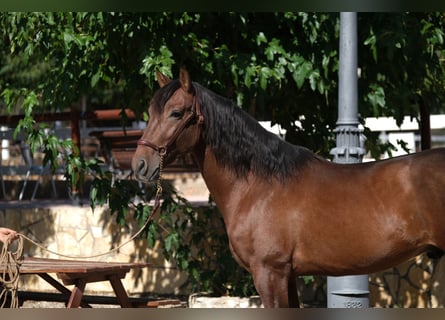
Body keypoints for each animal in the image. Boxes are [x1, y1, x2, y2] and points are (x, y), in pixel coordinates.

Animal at [131, 68, 444, 308]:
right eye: (150, 112)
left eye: (176, 113)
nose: (140, 165)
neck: (259, 186)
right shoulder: (288, 276)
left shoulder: (270, 273)